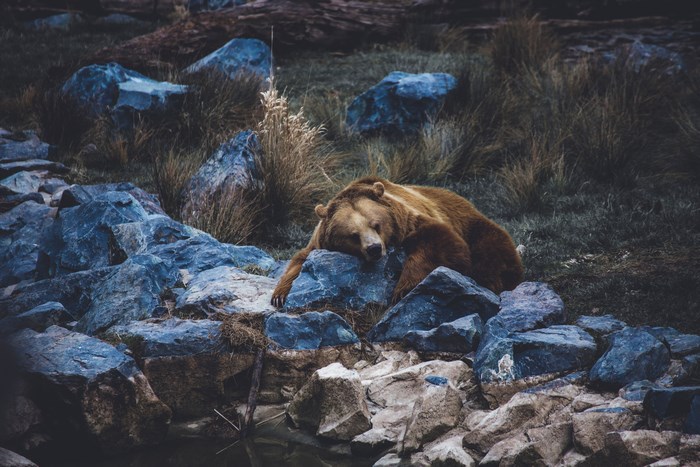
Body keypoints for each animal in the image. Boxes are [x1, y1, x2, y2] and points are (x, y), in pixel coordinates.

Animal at [271, 176, 523, 307]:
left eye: (376, 224)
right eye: (353, 234)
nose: (374, 249)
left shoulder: (410, 220)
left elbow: (441, 244)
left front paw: (402, 289)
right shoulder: (319, 242)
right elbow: (299, 261)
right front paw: (280, 295)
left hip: (471, 222)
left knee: (493, 250)